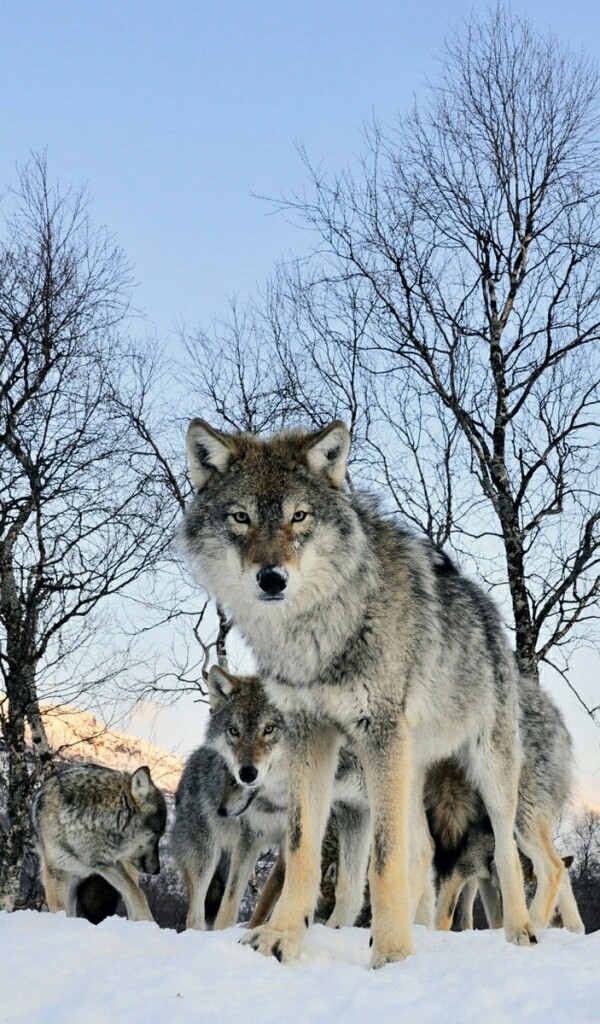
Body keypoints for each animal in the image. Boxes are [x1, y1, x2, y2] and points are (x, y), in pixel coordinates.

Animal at [31, 763, 167, 922]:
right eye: (157, 835)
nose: (157, 870)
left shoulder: (109, 864)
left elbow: (137, 894)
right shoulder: (58, 875)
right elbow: (62, 911)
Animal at [180, 418, 547, 967]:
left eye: (300, 516)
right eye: (241, 517)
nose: (272, 579)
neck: (316, 633)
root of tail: (489, 612)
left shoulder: (378, 734)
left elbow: (384, 858)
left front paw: (392, 954)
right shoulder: (310, 735)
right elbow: (303, 848)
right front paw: (280, 937)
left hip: (488, 771)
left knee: (504, 852)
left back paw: (520, 932)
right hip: (408, 769)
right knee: (422, 849)